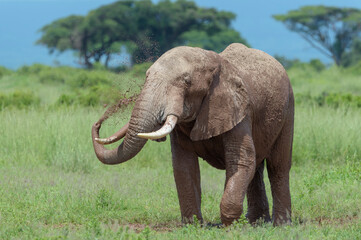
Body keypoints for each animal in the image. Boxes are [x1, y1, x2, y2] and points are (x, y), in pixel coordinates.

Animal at [91, 43, 294, 227]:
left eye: (186, 82)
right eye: (146, 76)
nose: (98, 122)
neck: (213, 61)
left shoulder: (239, 109)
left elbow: (241, 160)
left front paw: (230, 227)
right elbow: (184, 165)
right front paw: (193, 225)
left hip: (288, 110)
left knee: (278, 166)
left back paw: (281, 225)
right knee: (257, 167)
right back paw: (256, 222)